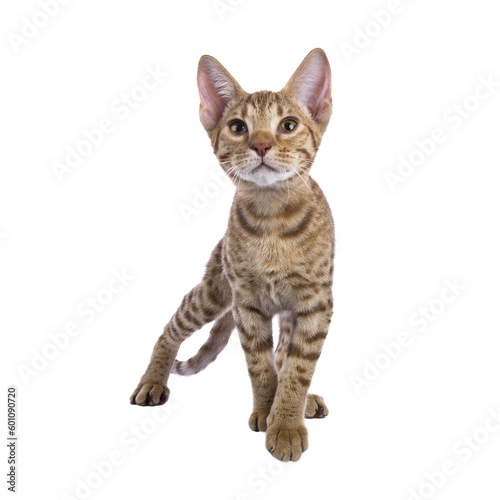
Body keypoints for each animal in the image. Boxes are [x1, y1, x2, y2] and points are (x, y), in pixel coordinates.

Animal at [132, 48, 336, 462]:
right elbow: (259, 365)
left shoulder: (315, 303)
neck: (273, 220)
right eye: (238, 127)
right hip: (214, 290)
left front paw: (285, 421)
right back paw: (153, 379)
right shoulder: (246, 303)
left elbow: (297, 368)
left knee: (284, 351)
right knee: (171, 327)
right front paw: (267, 411)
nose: (261, 145)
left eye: (288, 125)